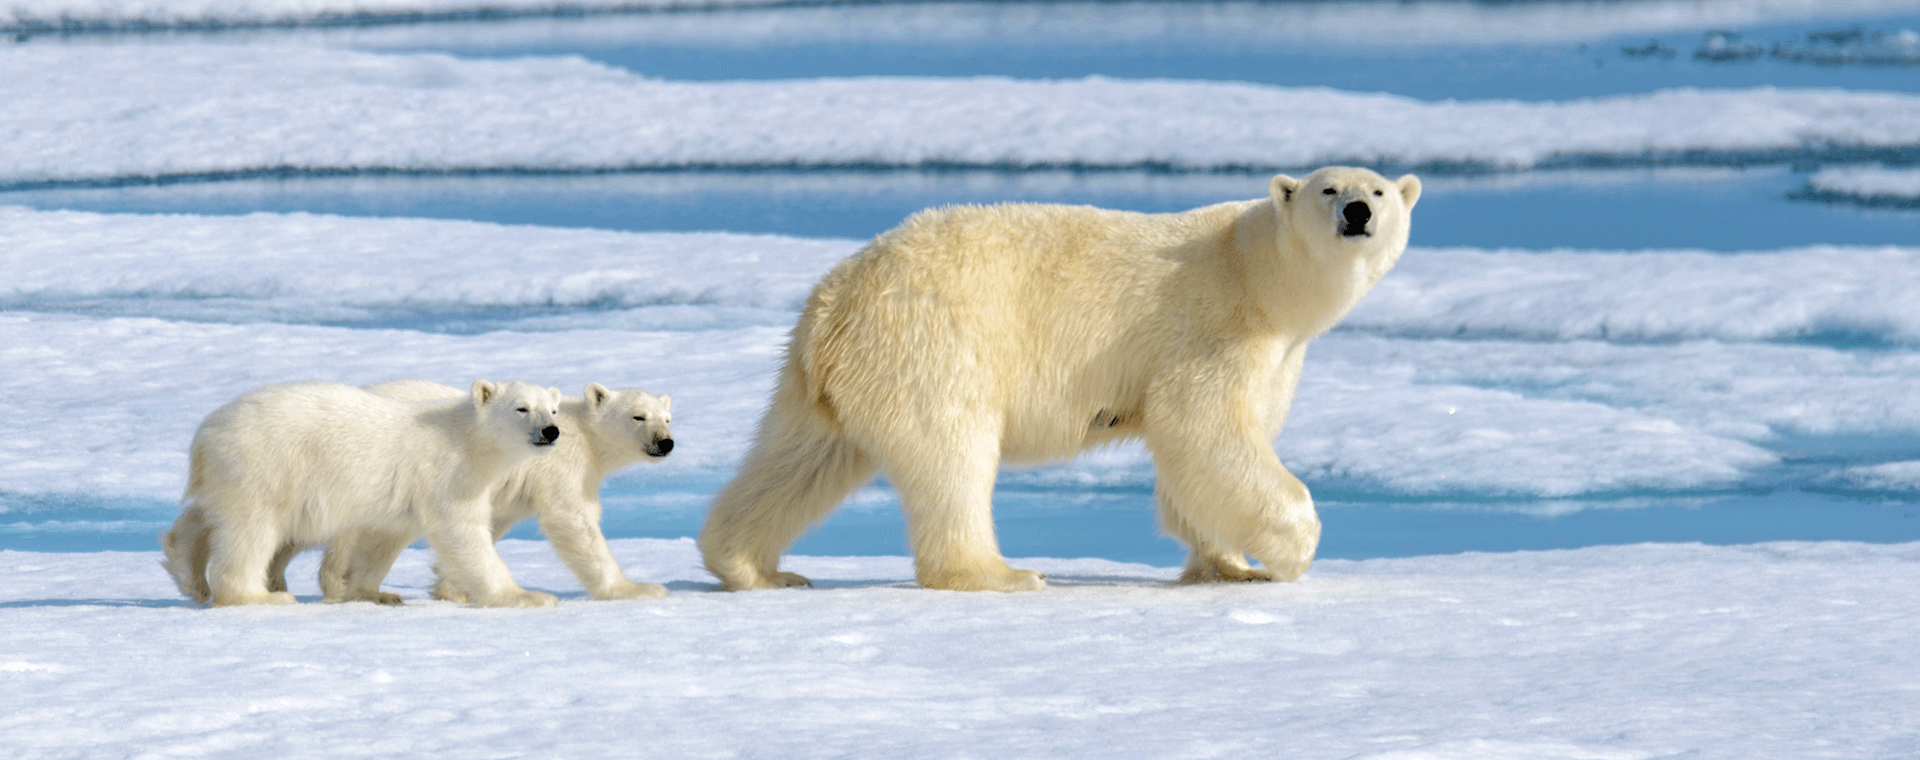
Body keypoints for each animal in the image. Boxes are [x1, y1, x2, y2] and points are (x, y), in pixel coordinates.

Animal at [163, 383, 560, 610]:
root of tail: (206, 433)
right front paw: (527, 596)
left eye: (553, 408)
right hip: (267, 467)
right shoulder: (447, 475)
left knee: (204, 515)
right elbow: (463, 534)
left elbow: (383, 539)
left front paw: (374, 593)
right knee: (250, 532)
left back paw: (188, 572)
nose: (551, 431)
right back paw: (259, 596)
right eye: (522, 407)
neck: (469, 439)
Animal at [303, 383, 679, 602]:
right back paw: (338, 584)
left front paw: (452, 589)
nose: (665, 443)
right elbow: (573, 521)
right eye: (638, 416)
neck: (584, 435)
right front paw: (637, 588)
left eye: (667, 418)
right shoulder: (562, 468)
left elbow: (492, 520)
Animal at [698, 166, 1420, 594]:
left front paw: (1227, 566)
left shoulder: (1279, 356)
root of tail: (835, 302)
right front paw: (1292, 551)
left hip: (826, 379)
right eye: (1330, 189)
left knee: (800, 460)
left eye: (1381, 190)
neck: (1257, 271)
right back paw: (1001, 572)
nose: (1359, 211)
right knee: (951, 456)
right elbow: (1203, 430)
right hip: (934, 345)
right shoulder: (1214, 328)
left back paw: (753, 567)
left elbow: (1204, 458)